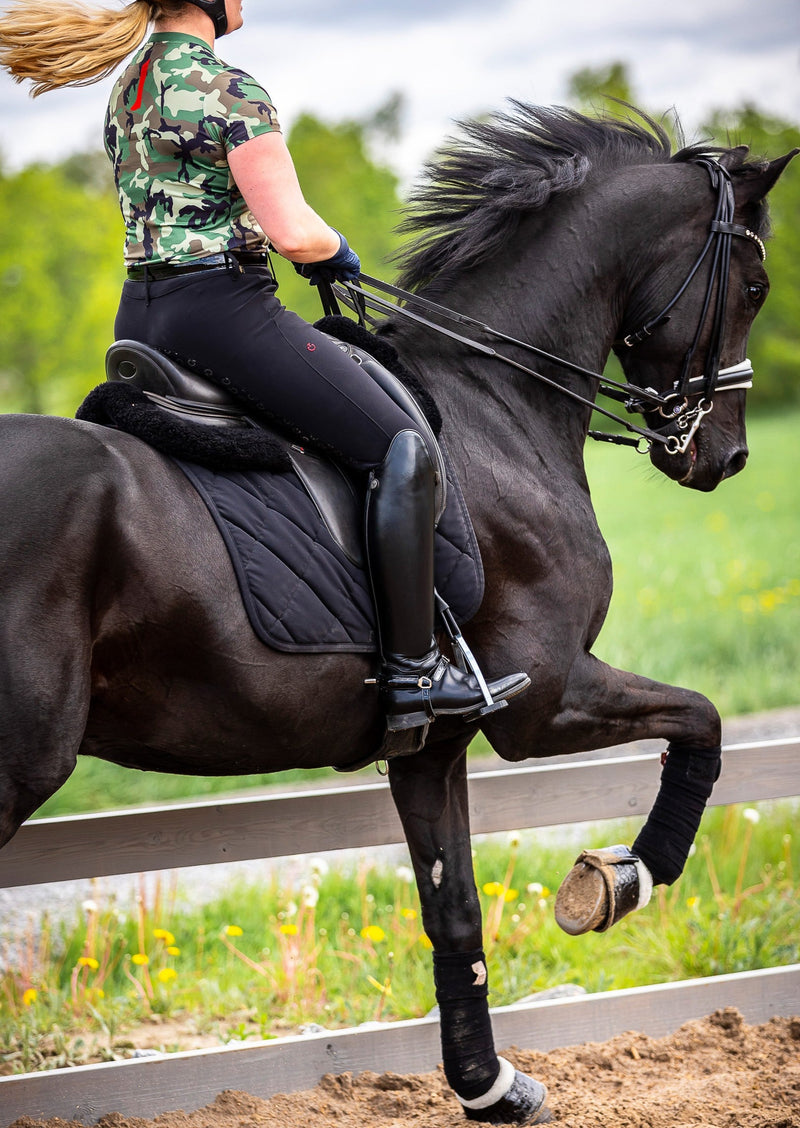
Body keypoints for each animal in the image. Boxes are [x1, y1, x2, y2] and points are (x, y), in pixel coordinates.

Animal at [0, 107, 794, 1128]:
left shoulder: (433, 746)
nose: (722, 457)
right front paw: (624, 877)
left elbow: (453, 910)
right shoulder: (544, 701)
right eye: (757, 284)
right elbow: (703, 719)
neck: (496, 407)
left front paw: (489, 1086)